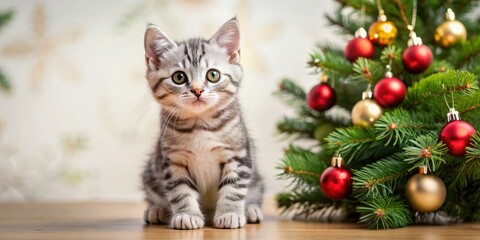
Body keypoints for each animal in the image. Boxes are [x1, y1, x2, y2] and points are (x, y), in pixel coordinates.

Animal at [141, 17, 264, 230]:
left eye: (213, 75)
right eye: (179, 77)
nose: (197, 90)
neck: (200, 125)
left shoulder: (238, 155)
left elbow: (234, 187)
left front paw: (230, 213)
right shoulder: (173, 160)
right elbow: (180, 190)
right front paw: (186, 215)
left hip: (257, 178)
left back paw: (250, 210)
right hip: (151, 171)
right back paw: (157, 210)